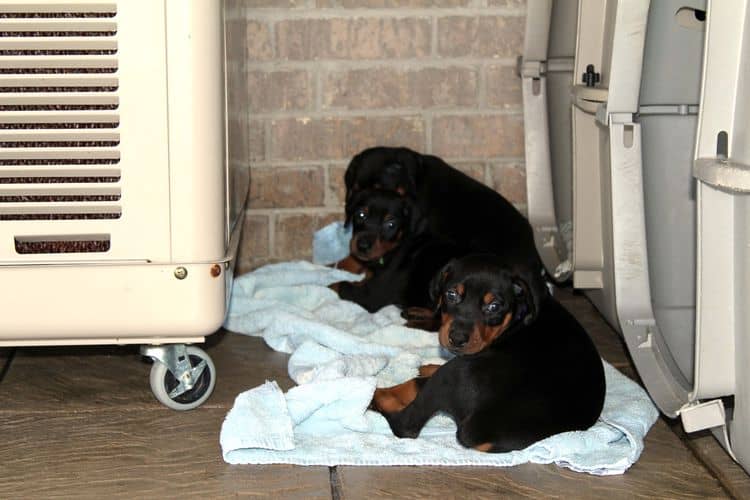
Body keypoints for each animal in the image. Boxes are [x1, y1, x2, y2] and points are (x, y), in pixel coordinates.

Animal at [332, 188, 468, 316]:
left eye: (391, 224)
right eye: (361, 215)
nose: (362, 246)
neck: (395, 247)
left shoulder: (373, 294)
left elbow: (340, 285)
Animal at [372, 254, 612, 454]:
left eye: (494, 306)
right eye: (451, 294)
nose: (457, 338)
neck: (517, 319)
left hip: (454, 375)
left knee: (407, 417)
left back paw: (374, 395)